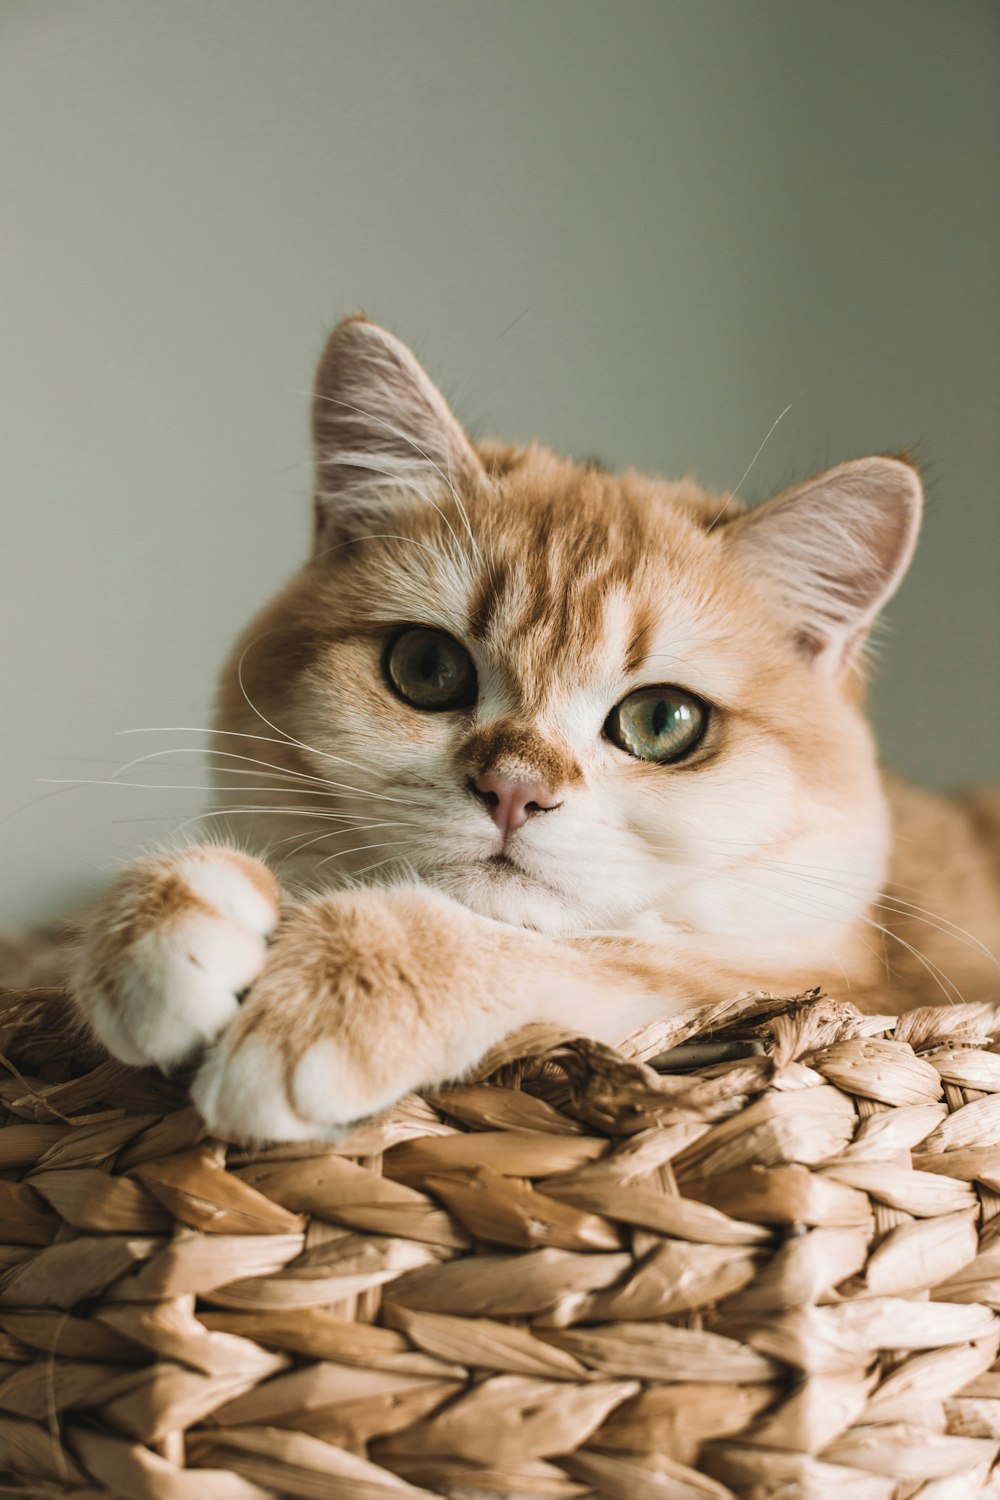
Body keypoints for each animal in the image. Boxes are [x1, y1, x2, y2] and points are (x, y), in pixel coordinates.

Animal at [68, 316, 1000, 1134]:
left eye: (663, 720)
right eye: (426, 668)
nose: (512, 790)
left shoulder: (829, 988)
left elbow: (577, 952)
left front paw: (340, 985)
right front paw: (165, 914)